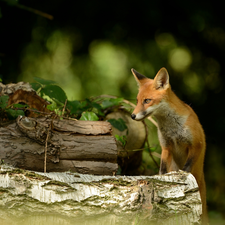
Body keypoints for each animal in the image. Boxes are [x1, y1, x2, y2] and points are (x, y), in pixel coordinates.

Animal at [130, 67, 207, 224]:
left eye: (147, 100)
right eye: (137, 101)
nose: (132, 116)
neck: (172, 128)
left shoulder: (197, 144)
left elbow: (187, 167)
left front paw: (183, 178)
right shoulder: (166, 146)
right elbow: (162, 168)